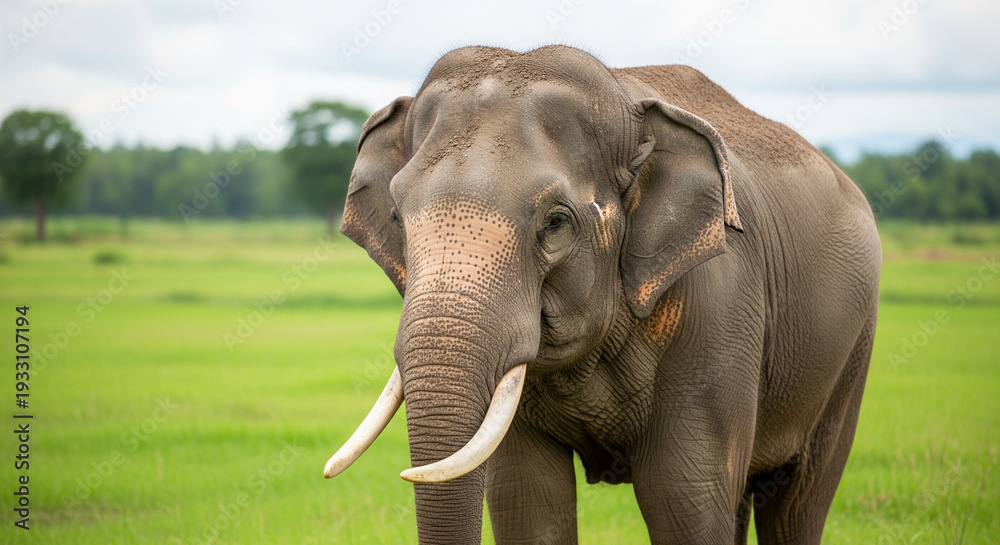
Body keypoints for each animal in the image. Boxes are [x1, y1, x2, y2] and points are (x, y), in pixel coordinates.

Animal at [324, 45, 881, 545]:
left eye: (555, 223)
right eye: (397, 217)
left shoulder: (720, 303)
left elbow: (685, 497)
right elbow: (526, 498)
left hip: (851, 351)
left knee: (798, 500)